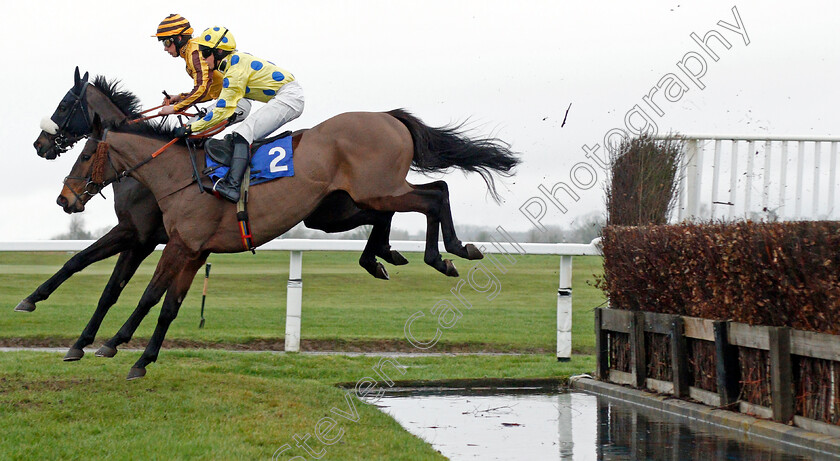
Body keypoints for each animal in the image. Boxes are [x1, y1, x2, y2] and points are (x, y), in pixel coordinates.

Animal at [21, 67, 408, 362]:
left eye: (64, 105)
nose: (40, 145)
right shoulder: (152, 239)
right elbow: (103, 282)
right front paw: (75, 337)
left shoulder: (140, 235)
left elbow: (98, 277)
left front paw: (48, 313)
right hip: (327, 214)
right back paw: (384, 254)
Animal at [59, 103, 516, 378]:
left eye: (84, 155)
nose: (65, 199)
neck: (178, 176)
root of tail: (388, 116)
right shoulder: (195, 251)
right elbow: (169, 307)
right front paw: (142, 358)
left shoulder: (178, 245)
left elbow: (148, 297)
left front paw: (112, 344)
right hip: (359, 198)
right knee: (419, 199)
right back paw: (387, 257)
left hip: (379, 188)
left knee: (435, 194)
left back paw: (449, 252)